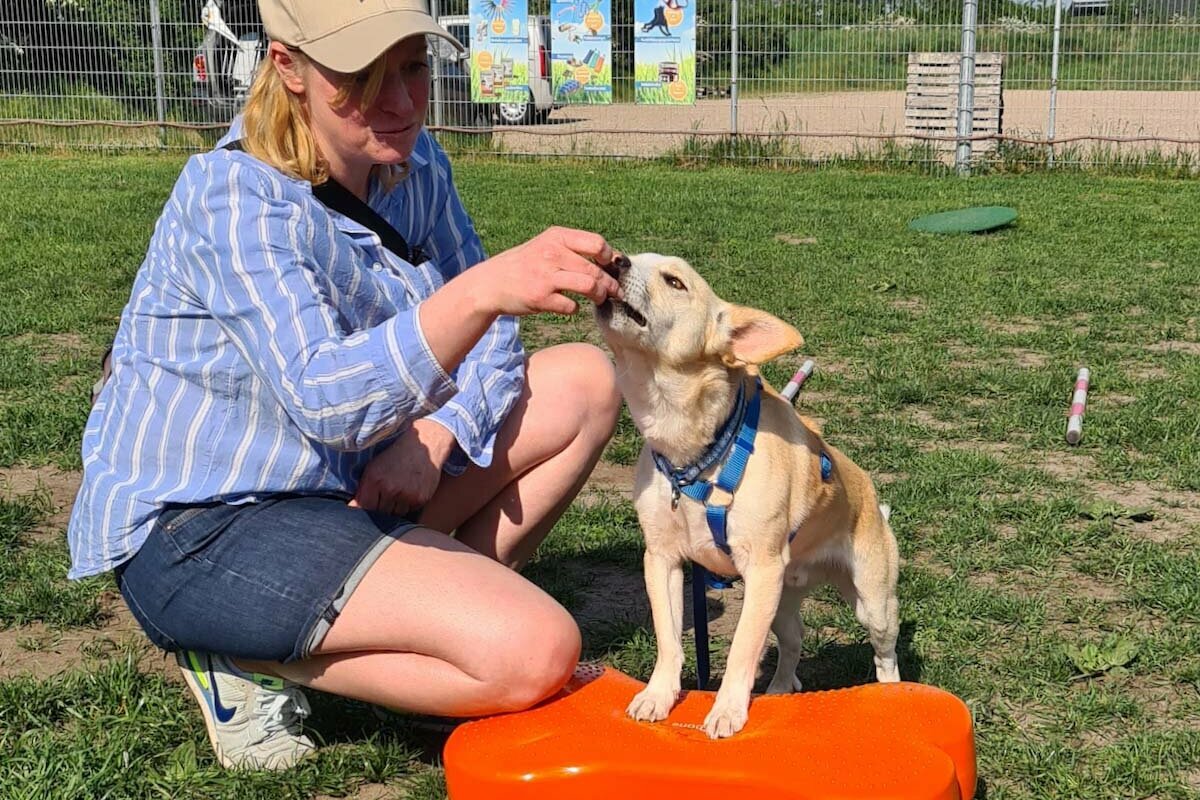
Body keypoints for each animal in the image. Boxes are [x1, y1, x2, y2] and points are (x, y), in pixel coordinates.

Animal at [595, 255, 897, 738]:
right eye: (628, 256)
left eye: (675, 282)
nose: (614, 260)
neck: (692, 455)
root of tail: (872, 494)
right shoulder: (662, 560)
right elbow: (668, 639)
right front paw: (658, 696)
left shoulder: (760, 569)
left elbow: (740, 650)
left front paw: (727, 710)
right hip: (781, 602)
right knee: (793, 644)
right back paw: (779, 690)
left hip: (872, 605)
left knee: (886, 656)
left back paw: (891, 694)